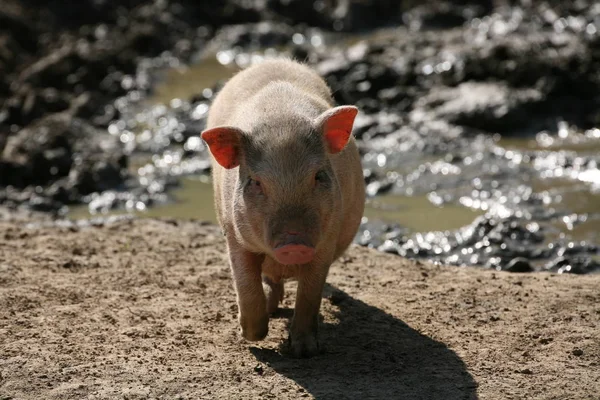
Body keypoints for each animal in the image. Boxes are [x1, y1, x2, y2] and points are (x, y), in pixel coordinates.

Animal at [200, 57, 366, 358]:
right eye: (255, 182)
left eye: (319, 176)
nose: (294, 242)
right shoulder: (233, 233)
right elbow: (245, 284)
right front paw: (252, 336)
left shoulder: (327, 239)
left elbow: (310, 295)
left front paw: (304, 351)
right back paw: (271, 309)